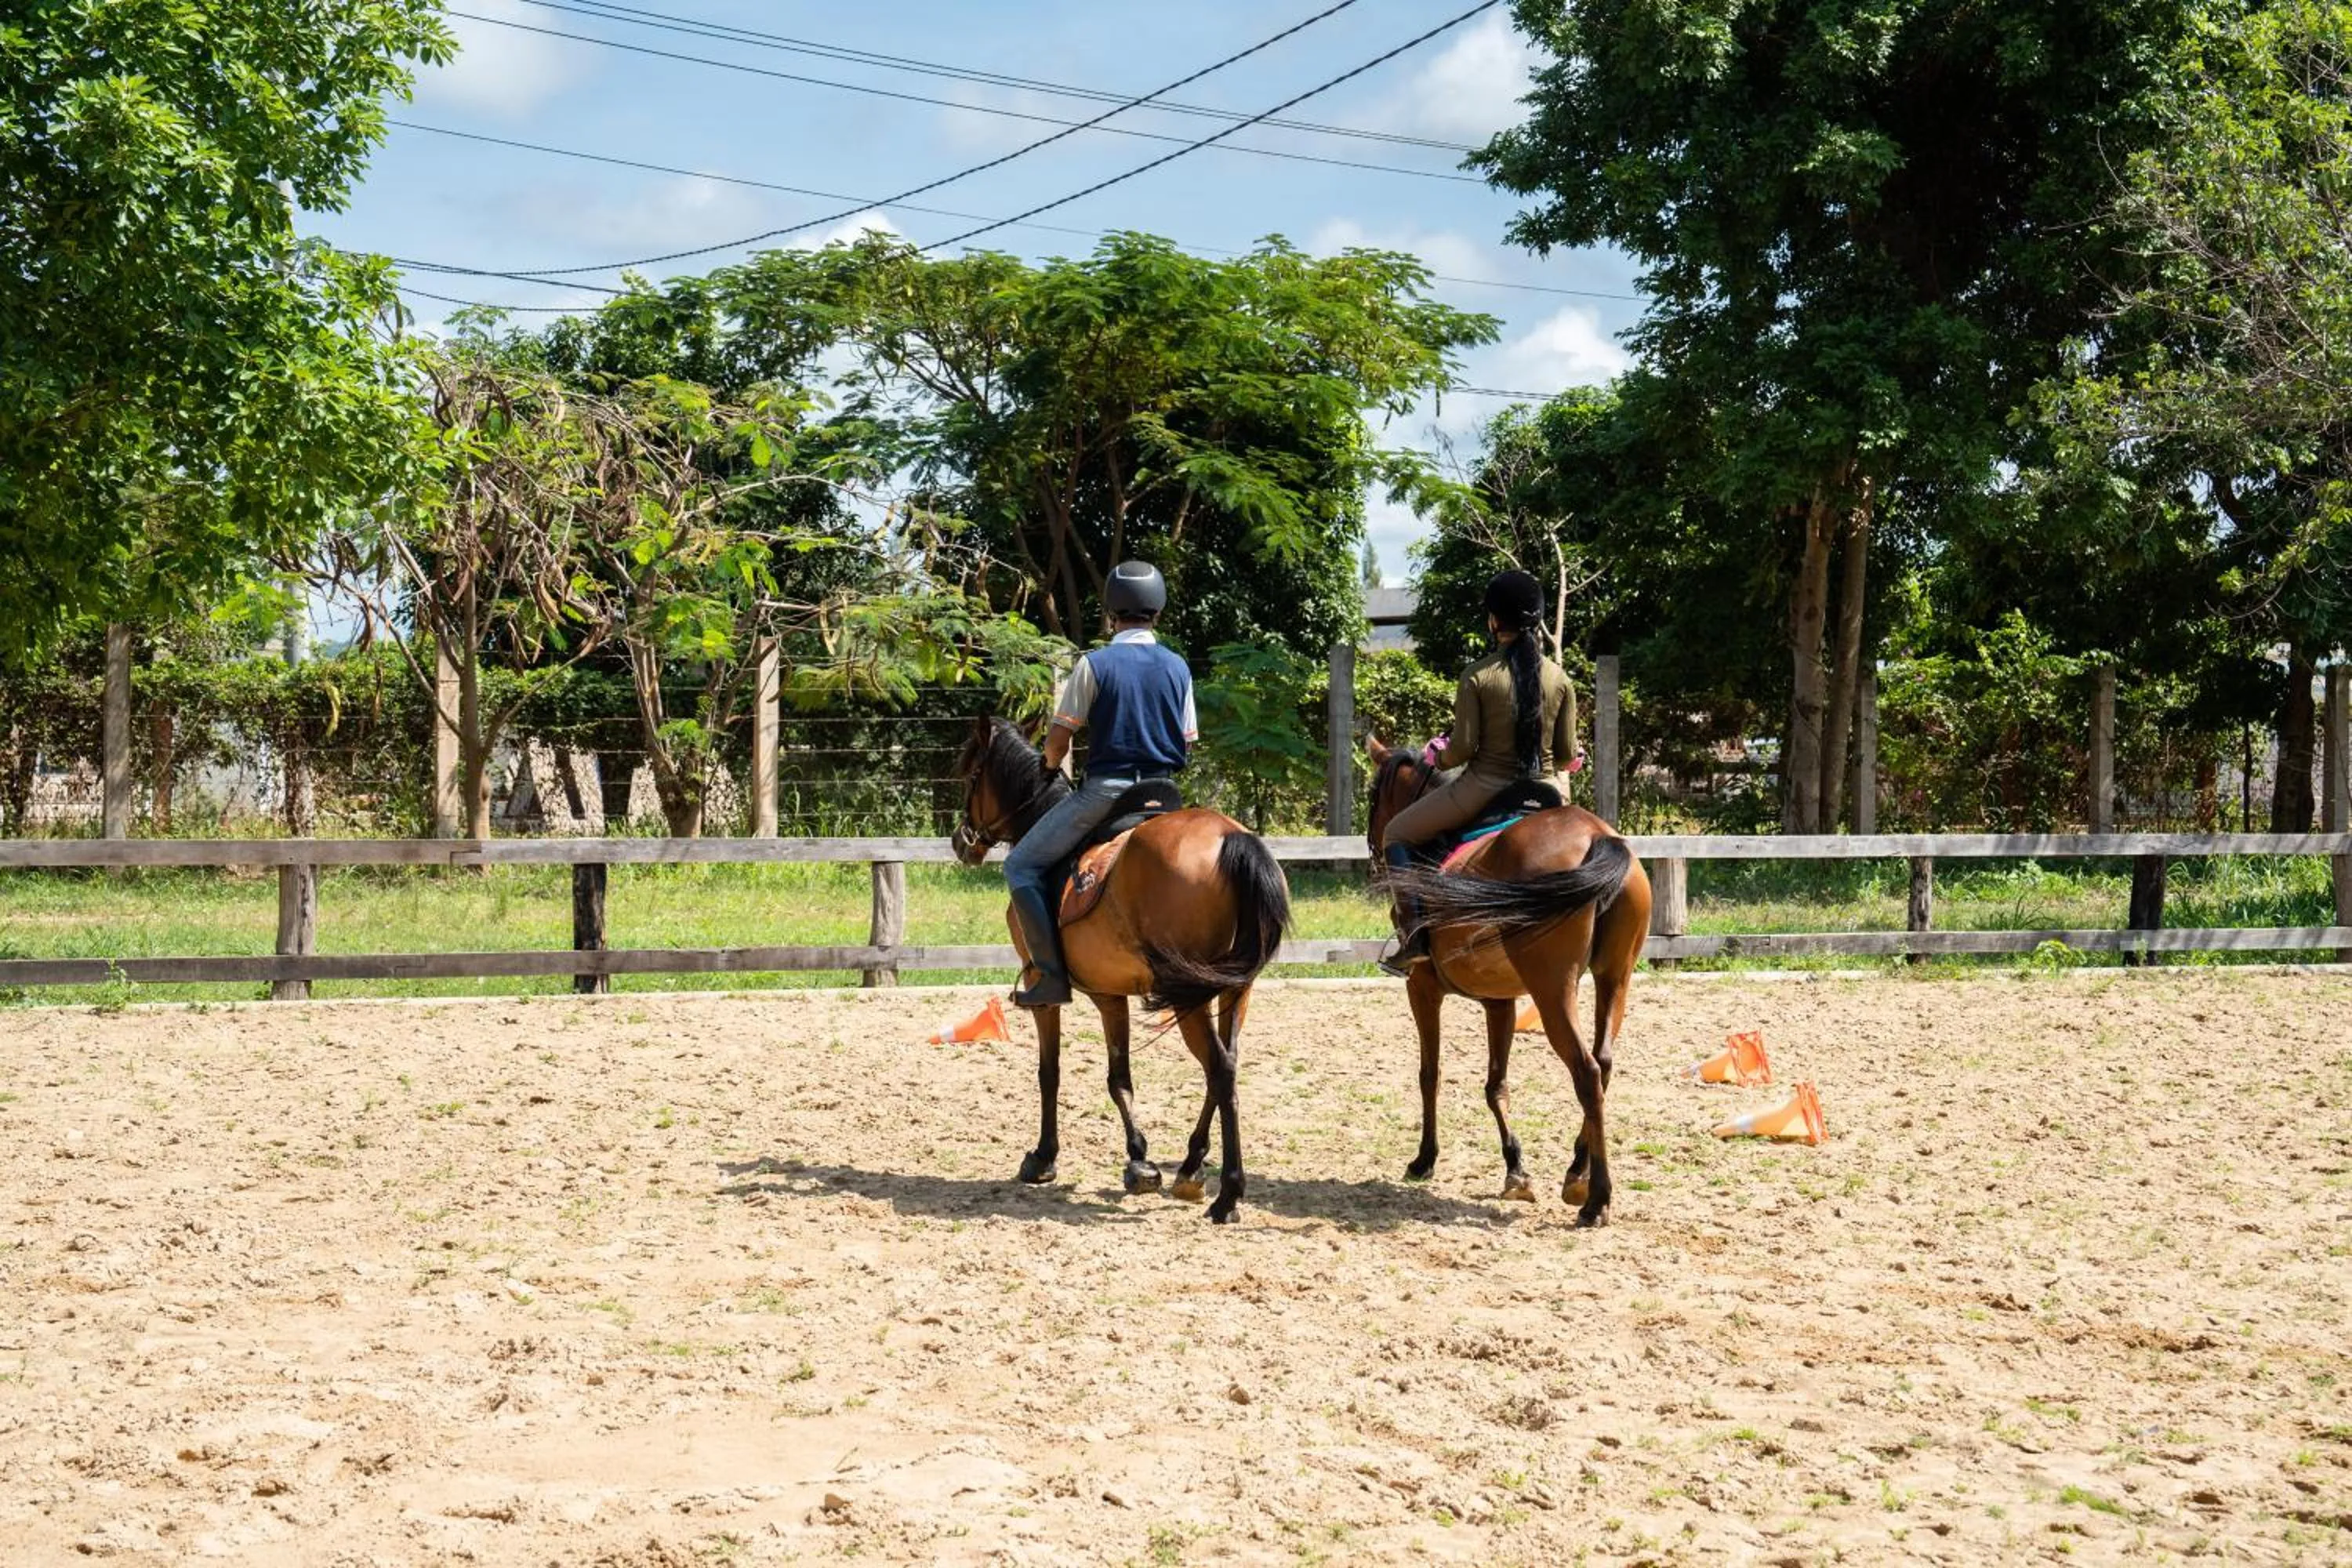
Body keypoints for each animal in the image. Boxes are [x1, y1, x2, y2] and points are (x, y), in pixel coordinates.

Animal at [950, 717, 1292, 1224]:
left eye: (971, 774)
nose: (962, 842)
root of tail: (1233, 838)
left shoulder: (1044, 988)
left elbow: (1050, 1071)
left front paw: (1043, 1157)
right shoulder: (1111, 995)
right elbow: (1120, 1077)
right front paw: (1140, 1162)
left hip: (1189, 994)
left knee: (1220, 1069)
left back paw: (1228, 1195)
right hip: (1234, 990)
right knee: (1225, 1067)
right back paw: (1191, 1167)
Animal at [1365, 736, 1650, 1226]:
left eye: (1370, 799)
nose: (1372, 858)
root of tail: (1597, 836)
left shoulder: (1422, 989)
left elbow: (1430, 1074)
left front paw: (1424, 1160)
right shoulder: (1500, 1001)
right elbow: (1496, 1086)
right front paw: (1516, 1171)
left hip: (1554, 989)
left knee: (1586, 1071)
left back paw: (1597, 1198)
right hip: (1615, 978)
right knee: (1604, 1063)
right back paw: (1577, 1172)